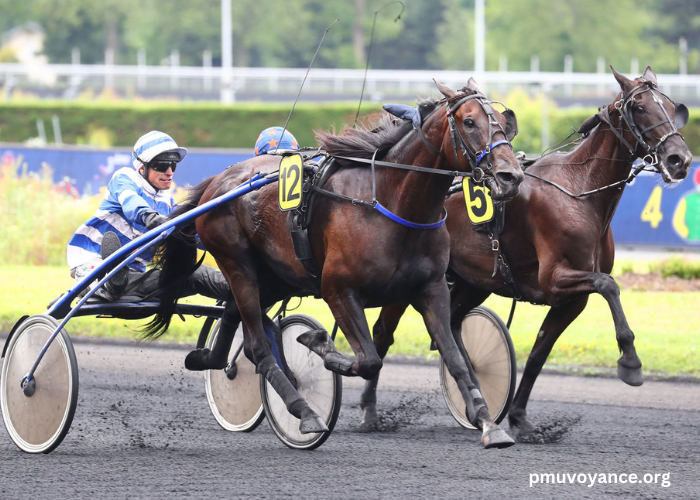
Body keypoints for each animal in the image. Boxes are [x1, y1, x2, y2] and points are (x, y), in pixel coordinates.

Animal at [145, 79, 524, 450]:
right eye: (469, 122)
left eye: (503, 122)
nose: (511, 176)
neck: (392, 204)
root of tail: (218, 182)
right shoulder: (337, 288)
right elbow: (368, 360)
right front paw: (318, 343)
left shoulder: (430, 289)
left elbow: (456, 358)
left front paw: (488, 423)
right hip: (237, 263)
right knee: (258, 346)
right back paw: (305, 413)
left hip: (277, 275)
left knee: (235, 319)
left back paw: (209, 359)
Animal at [370, 65, 692, 438]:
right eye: (639, 107)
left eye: (670, 107)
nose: (680, 159)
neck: (579, 190)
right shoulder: (554, 278)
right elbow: (610, 286)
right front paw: (631, 361)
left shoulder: (572, 299)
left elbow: (540, 352)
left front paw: (520, 418)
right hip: (411, 279)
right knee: (384, 332)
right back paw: (371, 412)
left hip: (473, 281)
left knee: (451, 323)